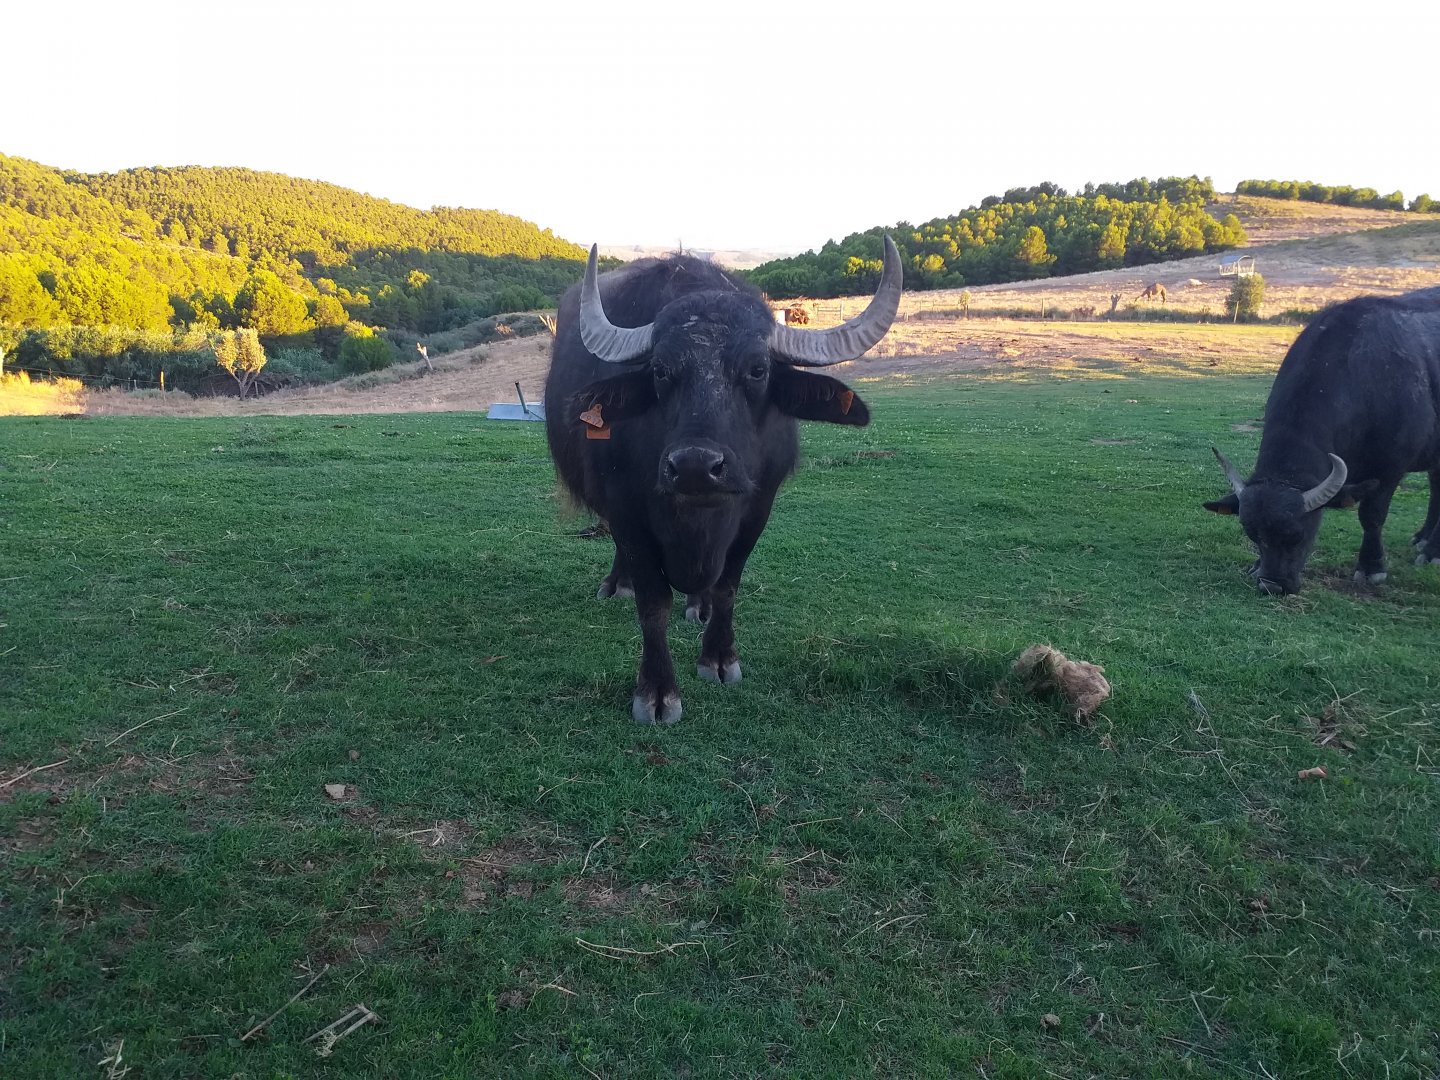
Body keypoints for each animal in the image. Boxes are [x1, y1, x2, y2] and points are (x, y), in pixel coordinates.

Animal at [544, 239, 902, 723]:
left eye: (757, 370)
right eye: (660, 370)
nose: (696, 466)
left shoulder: (758, 508)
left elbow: (728, 586)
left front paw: (718, 658)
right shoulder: (625, 508)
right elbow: (653, 603)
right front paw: (657, 691)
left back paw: (699, 606)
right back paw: (618, 584)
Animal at [1203, 285, 1440, 595]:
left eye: (1298, 534)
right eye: (1253, 535)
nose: (1272, 586)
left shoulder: (1391, 469)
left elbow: (1372, 516)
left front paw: (1372, 567)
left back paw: (1432, 551)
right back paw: (1423, 538)